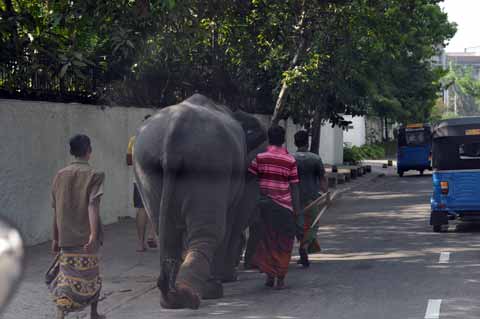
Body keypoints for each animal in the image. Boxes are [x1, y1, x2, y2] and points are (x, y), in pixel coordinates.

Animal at [132, 94, 266, 310]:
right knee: (211, 231)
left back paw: (172, 297)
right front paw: (228, 277)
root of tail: (175, 131)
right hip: (210, 163)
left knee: (166, 230)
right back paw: (206, 291)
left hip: (147, 167)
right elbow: (233, 220)